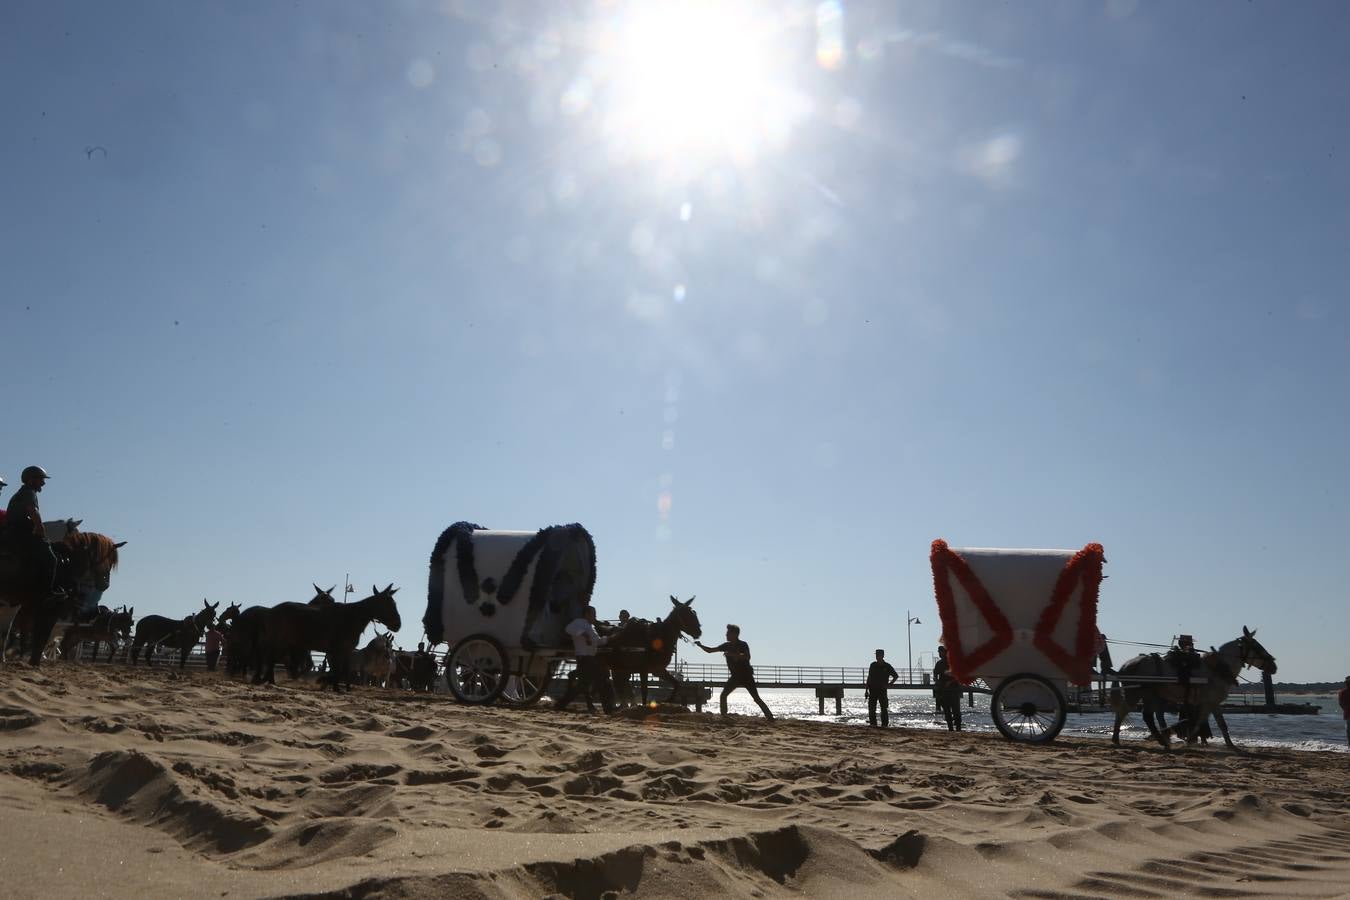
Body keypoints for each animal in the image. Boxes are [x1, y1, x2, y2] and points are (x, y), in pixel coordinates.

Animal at [253, 585, 399, 690]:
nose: (398, 624)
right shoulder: (336, 651)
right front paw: (326, 683)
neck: (351, 617)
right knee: (270, 658)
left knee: (271, 658)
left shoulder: (343, 652)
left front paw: (334, 686)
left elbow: (340, 671)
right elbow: (337, 671)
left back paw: (268, 680)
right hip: (279, 642)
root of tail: (271, 611)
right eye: (390, 604)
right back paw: (268, 679)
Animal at [1107, 631, 1274, 750]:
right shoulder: (1210, 702)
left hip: (1149, 695)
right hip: (1135, 693)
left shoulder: (1210, 703)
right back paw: (1117, 738)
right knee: (1123, 711)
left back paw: (1162, 741)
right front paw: (1191, 740)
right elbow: (1204, 723)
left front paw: (1229, 744)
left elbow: (1216, 723)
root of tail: (1126, 666)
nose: (1274, 665)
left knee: (1147, 716)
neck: (1218, 668)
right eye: (1257, 647)